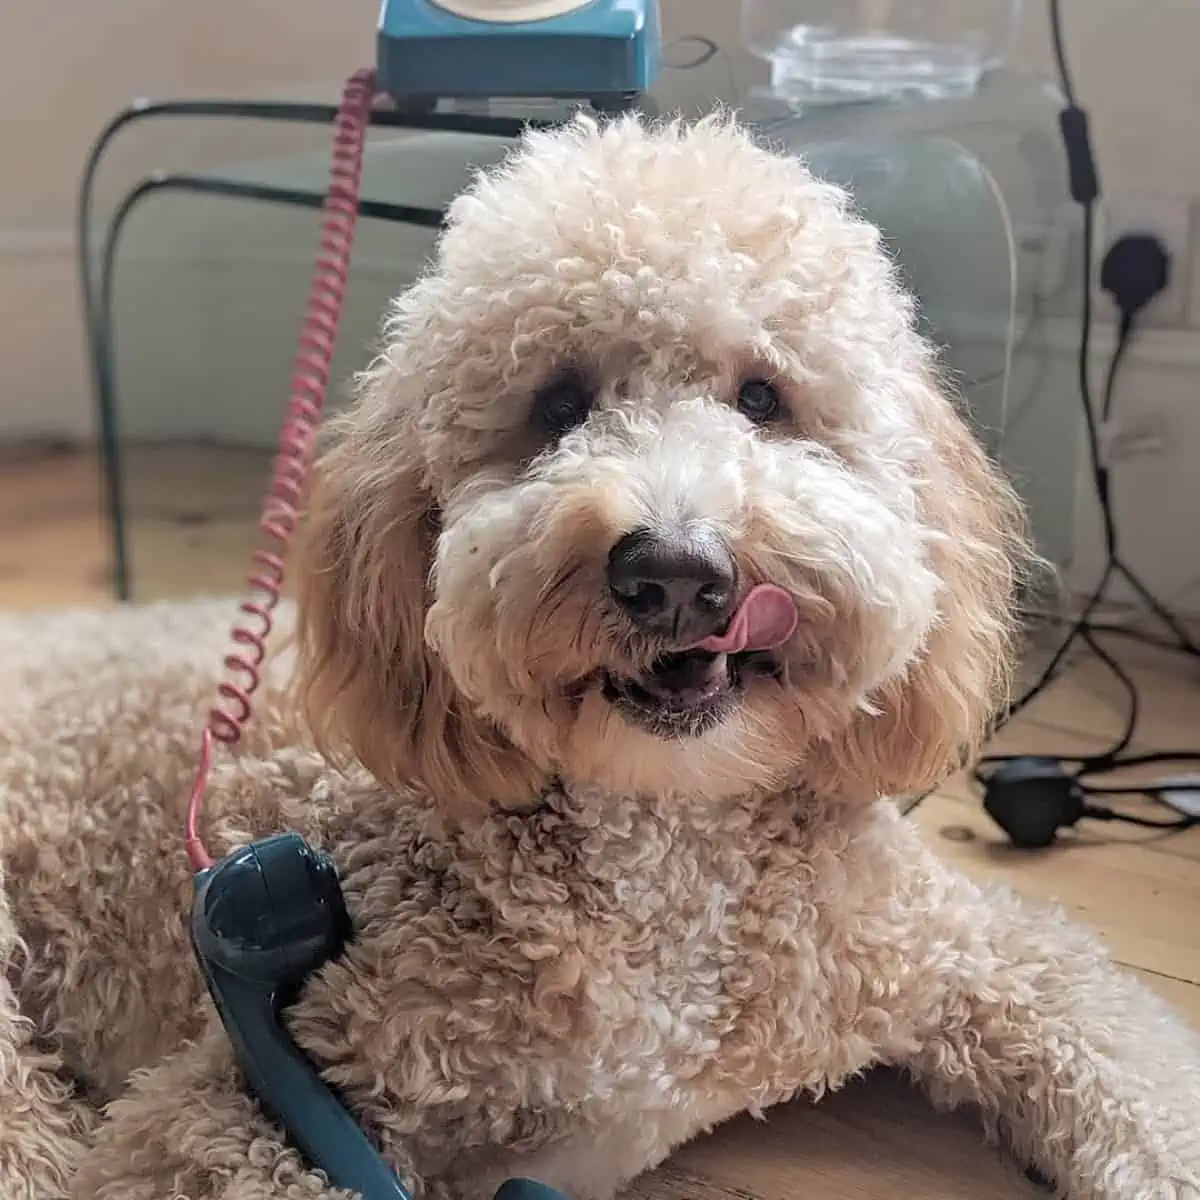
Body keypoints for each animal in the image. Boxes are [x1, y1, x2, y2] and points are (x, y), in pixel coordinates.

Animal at [2, 114, 1200, 1200]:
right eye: (559, 405)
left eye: (761, 397)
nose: (674, 574)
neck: (669, 851)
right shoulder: (238, 1102)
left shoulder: (983, 957)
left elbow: (1135, 1080)